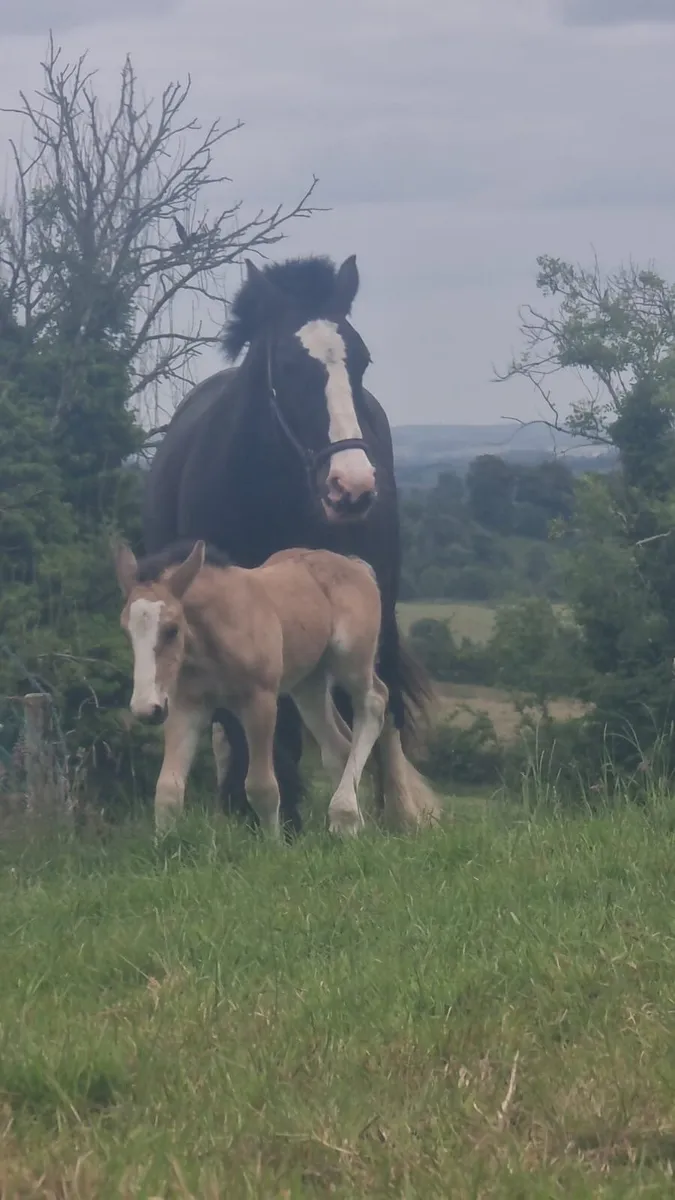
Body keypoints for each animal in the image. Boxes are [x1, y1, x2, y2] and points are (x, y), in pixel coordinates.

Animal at [113, 537, 400, 836]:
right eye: (126, 631)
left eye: (172, 630)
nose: (145, 709)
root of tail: (357, 566)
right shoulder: (185, 706)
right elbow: (168, 790)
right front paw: (165, 842)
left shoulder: (259, 702)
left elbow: (262, 787)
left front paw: (274, 843)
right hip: (309, 683)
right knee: (338, 745)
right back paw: (349, 826)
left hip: (351, 660)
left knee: (374, 701)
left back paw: (344, 812)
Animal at [141, 253, 441, 833]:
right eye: (287, 366)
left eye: (361, 361)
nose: (352, 487)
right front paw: (258, 810)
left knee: (379, 700)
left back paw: (394, 808)